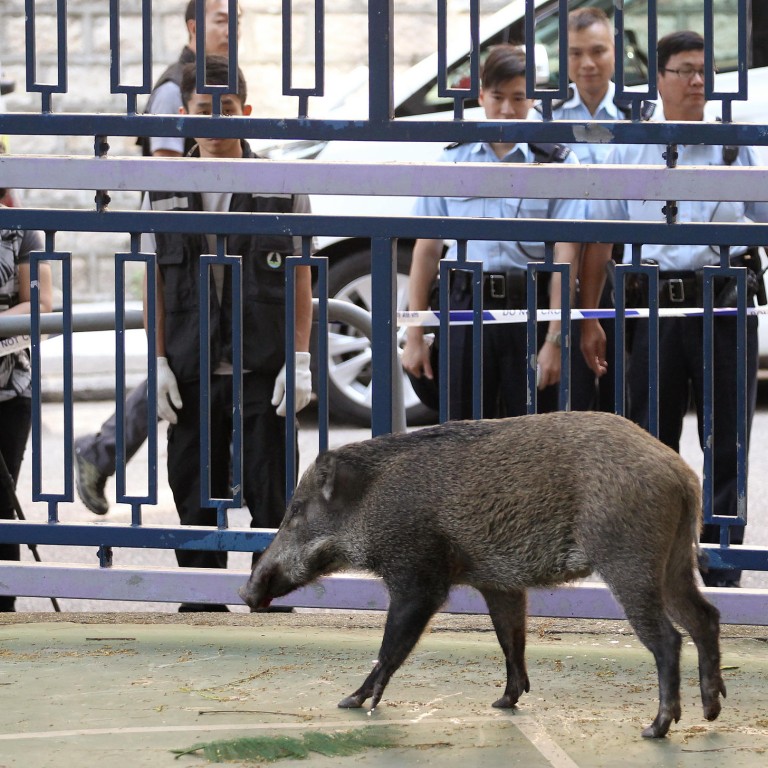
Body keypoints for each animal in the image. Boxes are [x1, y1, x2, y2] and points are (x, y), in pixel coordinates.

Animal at [239, 411, 725, 739]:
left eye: (296, 512)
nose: (245, 592)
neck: (369, 505)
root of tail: (682, 475)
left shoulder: (419, 577)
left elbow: (391, 646)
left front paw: (352, 701)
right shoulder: (499, 582)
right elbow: (510, 638)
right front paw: (504, 701)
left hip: (628, 561)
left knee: (669, 638)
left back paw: (656, 727)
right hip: (674, 563)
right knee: (706, 617)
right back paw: (711, 710)